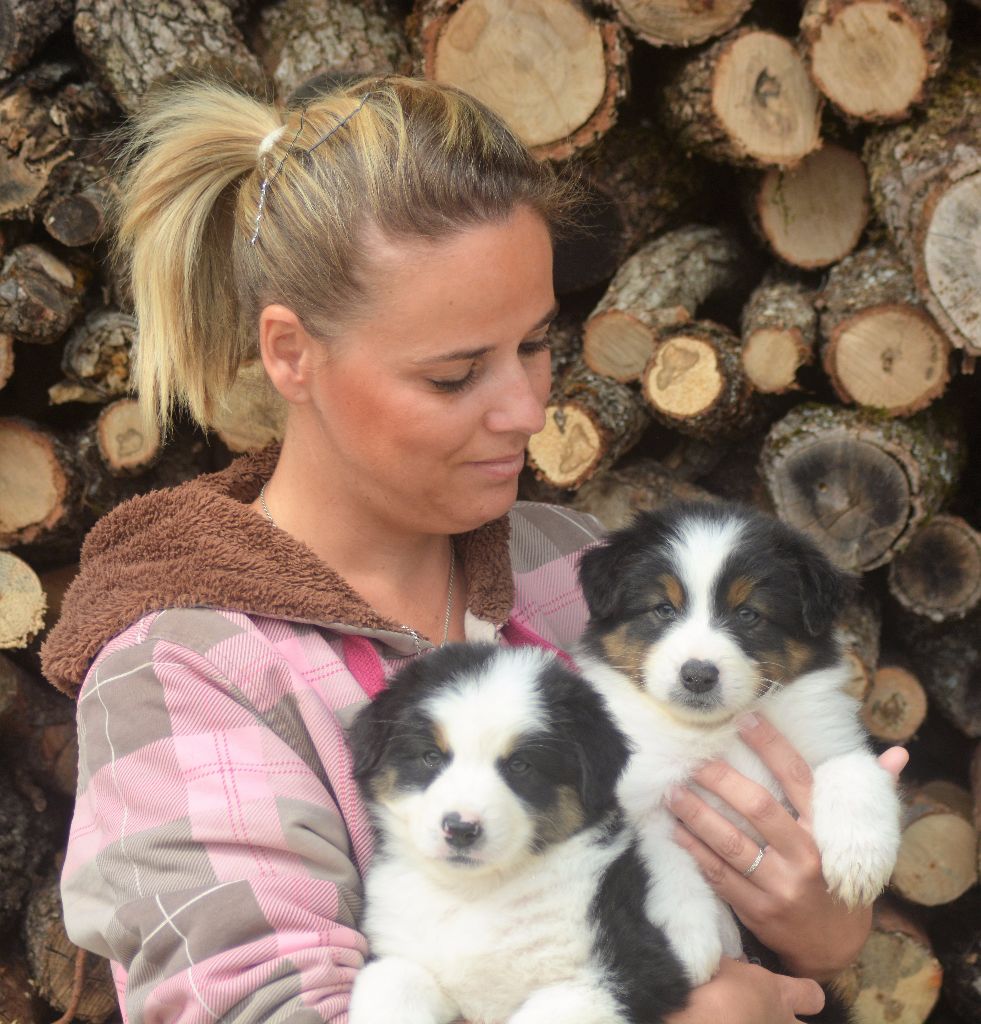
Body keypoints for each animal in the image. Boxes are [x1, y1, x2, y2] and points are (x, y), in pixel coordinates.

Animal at [346, 643, 691, 1024]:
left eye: (520, 766)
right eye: (431, 757)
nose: (461, 829)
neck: (477, 892)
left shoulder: (619, 975)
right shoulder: (402, 952)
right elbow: (392, 985)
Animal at [576, 501, 901, 987]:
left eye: (748, 614)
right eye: (663, 609)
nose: (697, 675)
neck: (717, 730)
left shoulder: (830, 732)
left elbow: (851, 769)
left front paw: (859, 861)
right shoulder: (640, 795)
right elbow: (662, 855)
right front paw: (688, 943)